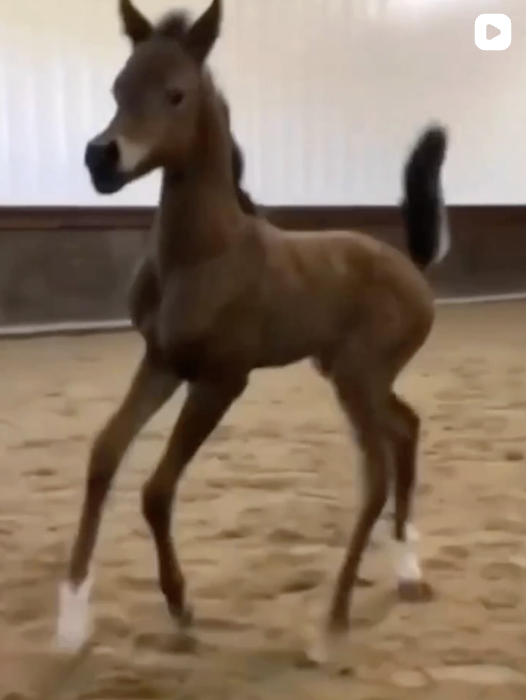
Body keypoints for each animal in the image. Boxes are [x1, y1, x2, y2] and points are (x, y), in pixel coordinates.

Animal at [56, 0, 450, 662]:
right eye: (117, 88)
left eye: (176, 94)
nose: (100, 158)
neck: (203, 254)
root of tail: (414, 268)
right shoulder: (161, 362)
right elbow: (104, 455)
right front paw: (70, 621)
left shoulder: (221, 380)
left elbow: (156, 490)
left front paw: (181, 606)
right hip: (350, 373)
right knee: (407, 429)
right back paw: (406, 570)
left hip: (357, 377)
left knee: (374, 474)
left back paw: (332, 624)